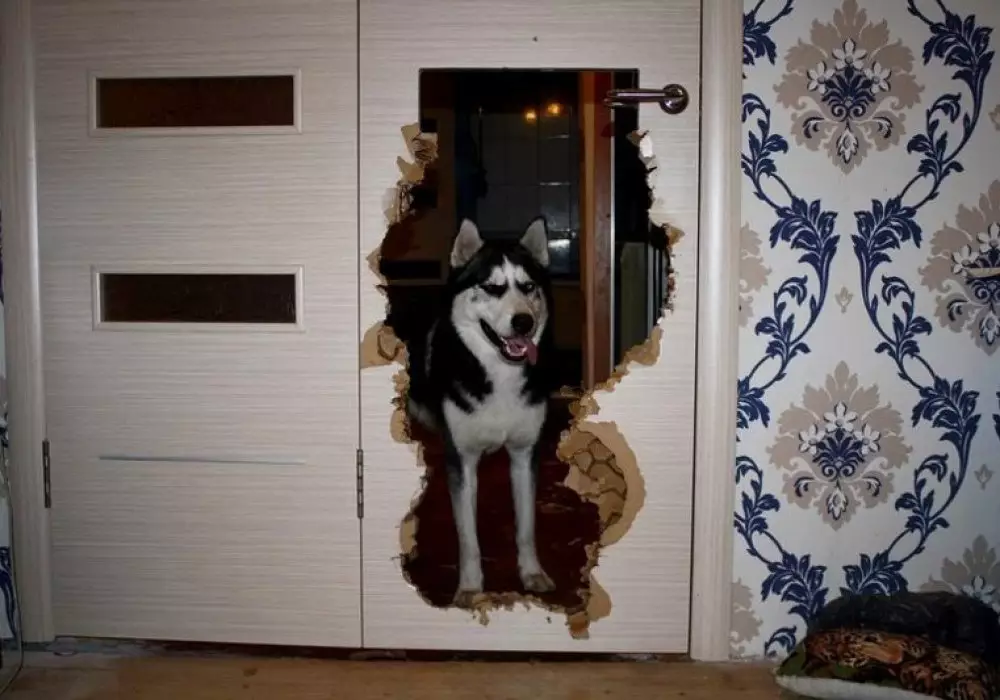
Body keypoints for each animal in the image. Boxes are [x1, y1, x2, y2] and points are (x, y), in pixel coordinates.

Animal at [404, 216, 556, 606]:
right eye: (491, 287)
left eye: (529, 286)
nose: (523, 322)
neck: (499, 375)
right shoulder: (462, 459)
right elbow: (468, 538)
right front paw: (471, 589)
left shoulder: (524, 454)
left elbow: (526, 527)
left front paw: (531, 573)